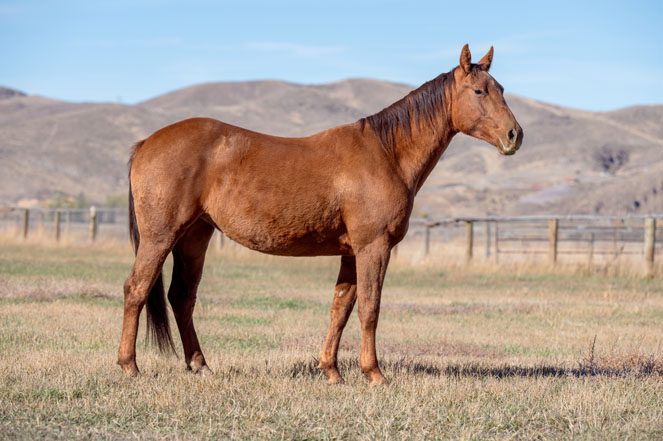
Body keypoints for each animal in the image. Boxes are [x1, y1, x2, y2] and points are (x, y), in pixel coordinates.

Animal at [117, 44, 523, 384]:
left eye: (501, 88)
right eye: (479, 92)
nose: (514, 135)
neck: (386, 153)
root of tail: (146, 143)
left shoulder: (352, 252)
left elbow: (341, 307)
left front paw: (331, 371)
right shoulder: (373, 247)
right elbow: (370, 309)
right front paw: (374, 374)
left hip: (195, 237)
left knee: (181, 297)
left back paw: (200, 365)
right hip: (160, 237)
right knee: (137, 289)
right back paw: (129, 365)